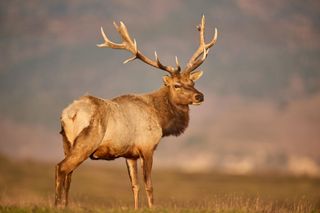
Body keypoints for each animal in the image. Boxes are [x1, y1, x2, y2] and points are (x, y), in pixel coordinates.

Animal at [55, 15, 218, 209]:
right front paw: (152, 208)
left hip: (66, 143)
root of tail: (69, 113)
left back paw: (64, 205)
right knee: (61, 168)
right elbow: (149, 185)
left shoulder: (129, 154)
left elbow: (135, 185)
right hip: (86, 142)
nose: (200, 96)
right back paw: (56, 204)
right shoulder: (147, 147)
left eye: (192, 83)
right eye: (177, 85)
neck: (161, 120)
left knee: (69, 174)